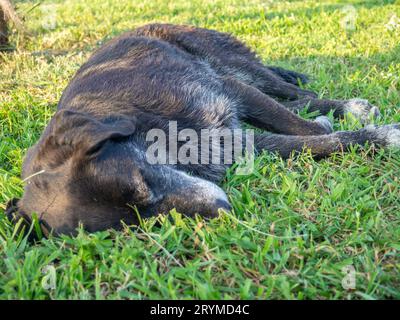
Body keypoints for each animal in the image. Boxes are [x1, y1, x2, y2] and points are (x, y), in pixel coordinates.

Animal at [6, 23, 400, 236]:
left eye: (141, 184)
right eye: (142, 225)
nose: (223, 210)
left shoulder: (228, 91)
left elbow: (300, 126)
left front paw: (379, 134)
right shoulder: (235, 141)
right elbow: (310, 142)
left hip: (231, 64)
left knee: (299, 95)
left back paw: (347, 108)